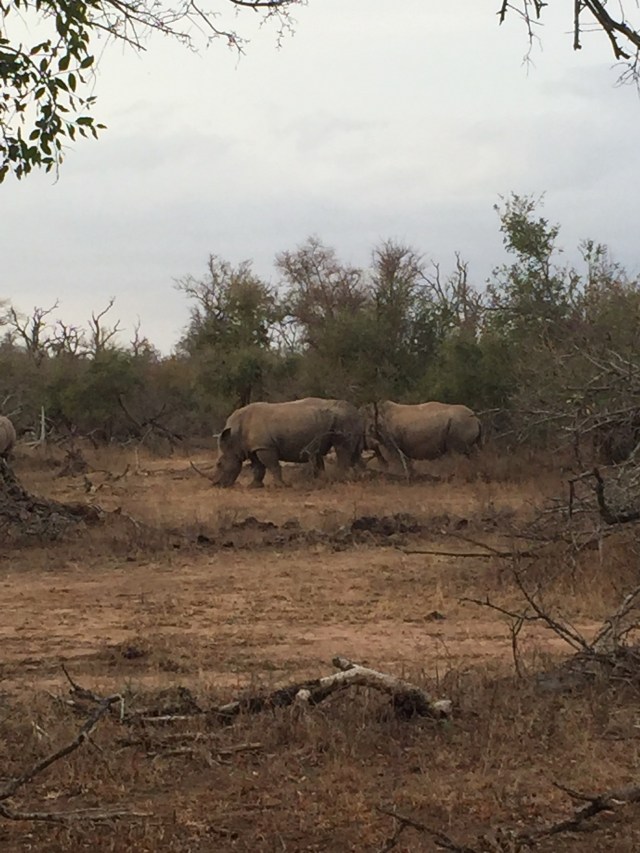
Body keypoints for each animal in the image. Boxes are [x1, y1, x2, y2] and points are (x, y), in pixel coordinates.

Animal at [212, 397, 364, 487]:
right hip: (344, 419)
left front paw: (279, 486)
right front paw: (254, 486)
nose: (216, 484)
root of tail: (357, 411)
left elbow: (272, 466)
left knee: (342, 448)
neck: (233, 437)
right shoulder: (254, 448)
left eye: (219, 464)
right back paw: (360, 477)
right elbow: (258, 468)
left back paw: (339, 479)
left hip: (343, 419)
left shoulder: (265, 447)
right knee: (354, 451)